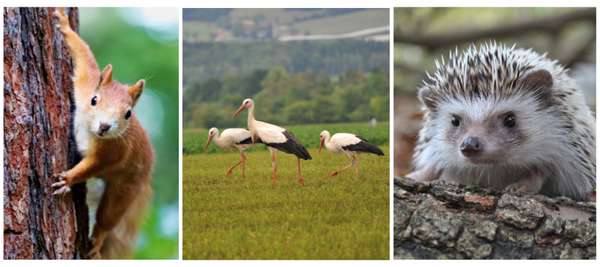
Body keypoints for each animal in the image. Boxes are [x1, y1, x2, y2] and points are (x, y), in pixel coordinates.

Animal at [51, 7, 155, 260]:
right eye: (94, 100)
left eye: (128, 114)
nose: (105, 126)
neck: (91, 133)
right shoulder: (85, 84)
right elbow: (84, 56)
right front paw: (64, 25)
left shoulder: (115, 151)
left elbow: (93, 165)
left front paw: (68, 179)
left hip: (126, 187)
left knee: (107, 218)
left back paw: (97, 242)